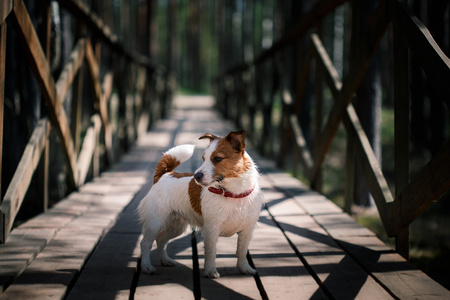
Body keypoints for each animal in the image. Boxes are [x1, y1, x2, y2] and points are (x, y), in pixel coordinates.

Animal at [138, 130, 264, 278]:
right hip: (155, 223)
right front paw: (210, 271)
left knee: (161, 241)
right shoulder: (211, 229)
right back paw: (147, 266)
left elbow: (242, 251)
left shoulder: (247, 230)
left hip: (175, 226)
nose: (196, 176)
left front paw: (244, 268)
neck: (233, 193)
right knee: (145, 243)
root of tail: (165, 175)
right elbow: (211, 252)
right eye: (203, 158)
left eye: (217, 159)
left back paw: (165, 260)